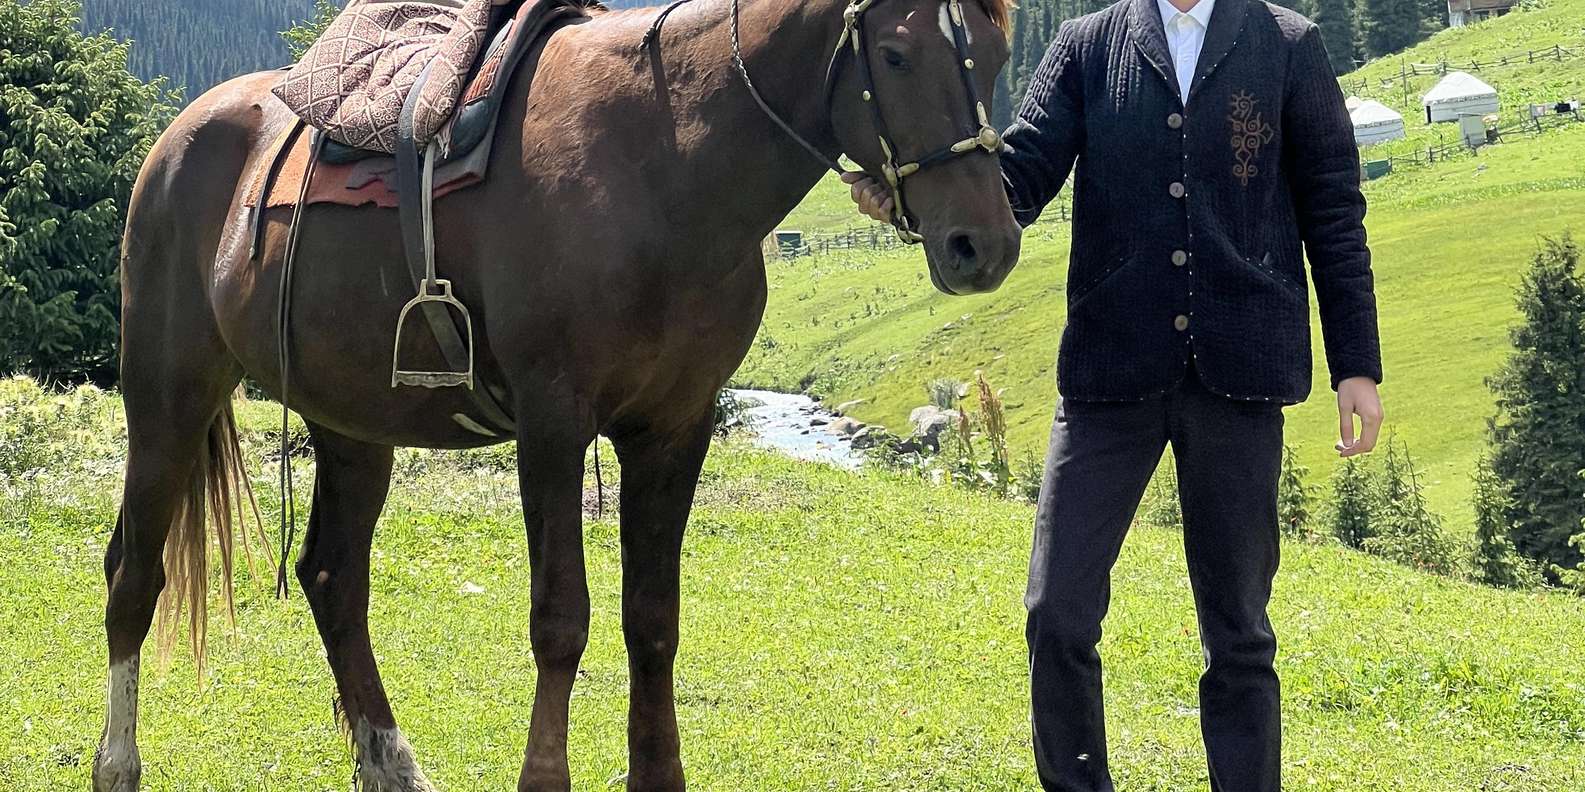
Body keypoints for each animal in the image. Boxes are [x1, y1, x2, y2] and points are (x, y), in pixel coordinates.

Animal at [94, 1, 1018, 789]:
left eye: (998, 54)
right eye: (894, 55)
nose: (984, 244)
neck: (663, 169)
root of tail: (178, 141)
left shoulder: (673, 431)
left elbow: (652, 618)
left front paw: (658, 774)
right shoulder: (552, 425)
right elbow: (560, 619)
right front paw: (544, 775)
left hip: (352, 422)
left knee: (332, 578)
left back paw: (389, 762)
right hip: (169, 392)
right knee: (134, 571)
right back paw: (117, 763)